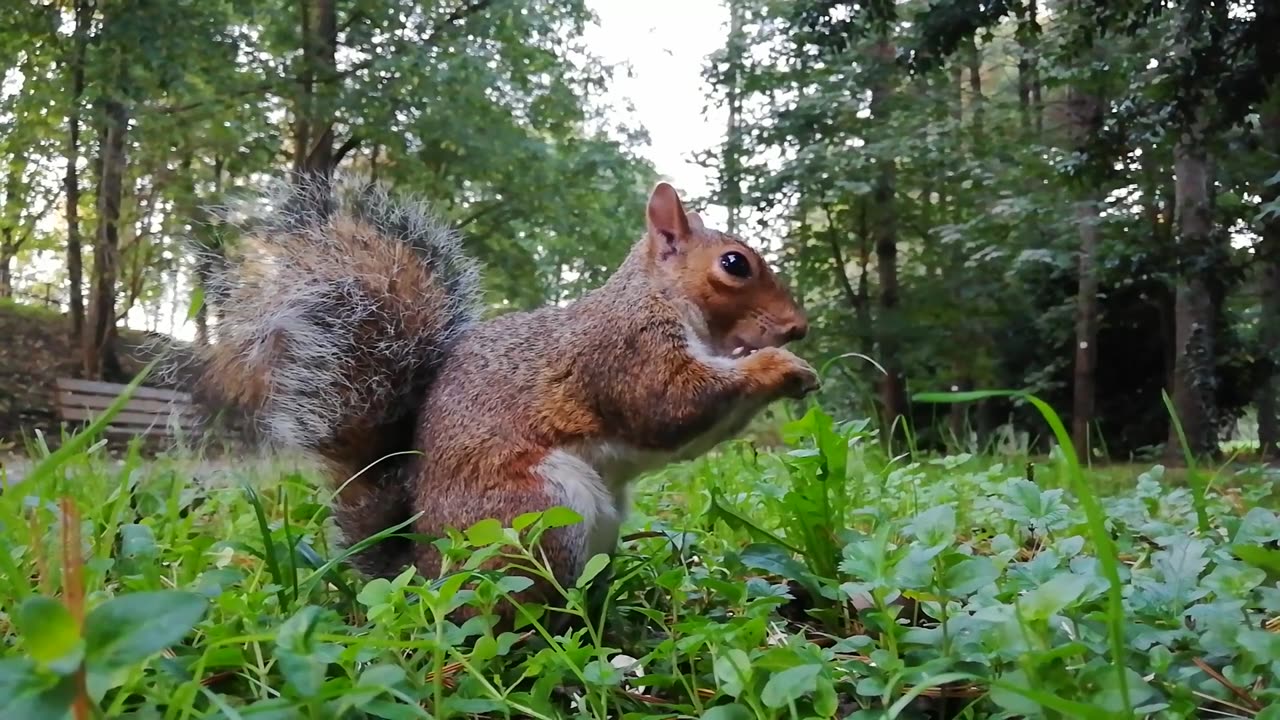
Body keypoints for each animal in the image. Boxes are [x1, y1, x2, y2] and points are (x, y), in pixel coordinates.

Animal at [199, 172, 819, 622]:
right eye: (734, 264)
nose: (799, 328)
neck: (660, 299)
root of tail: (425, 576)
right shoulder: (626, 355)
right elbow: (670, 407)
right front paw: (778, 367)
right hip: (537, 515)